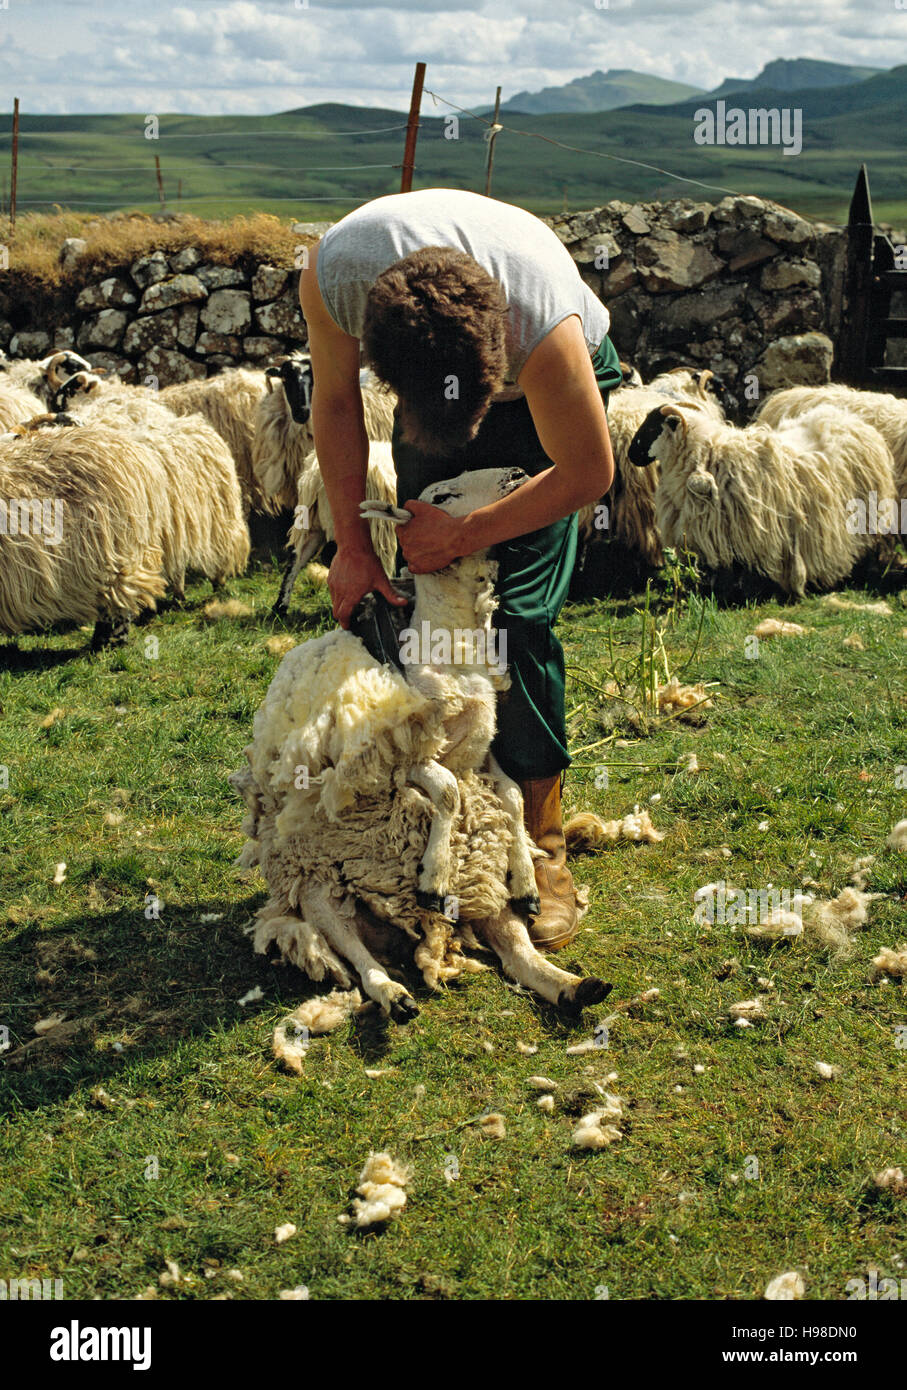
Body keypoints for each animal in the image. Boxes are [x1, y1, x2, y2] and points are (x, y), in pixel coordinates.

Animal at [230, 467, 611, 1023]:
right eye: (444, 494)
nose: (518, 474)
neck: (455, 648)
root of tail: (399, 936)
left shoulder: (483, 753)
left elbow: (514, 798)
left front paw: (525, 877)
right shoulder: (407, 758)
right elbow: (448, 791)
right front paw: (434, 875)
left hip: (484, 890)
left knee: (518, 955)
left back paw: (574, 986)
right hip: (322, 889)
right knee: (360, 959)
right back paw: (395, 994)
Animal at [630, 403, 900, 597]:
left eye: (652, 428)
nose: (632, 454)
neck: (706, 454)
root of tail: (853, 421)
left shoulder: (743, 530)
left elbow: (736, 567)